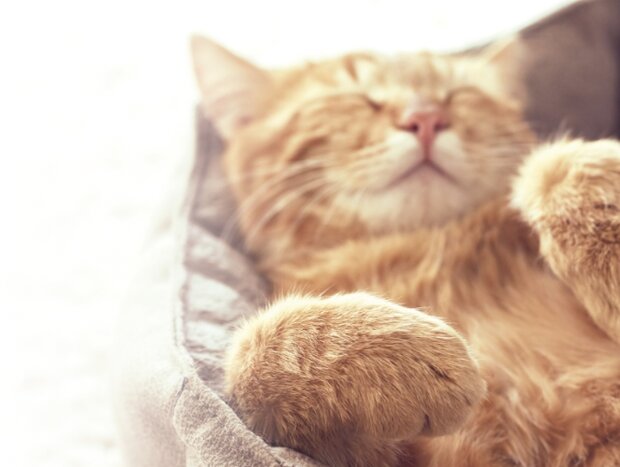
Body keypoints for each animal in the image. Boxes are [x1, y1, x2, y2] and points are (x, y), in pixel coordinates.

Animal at [191, 34, 620, 466]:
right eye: (357, 97)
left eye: (458, 94)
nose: (426, 117)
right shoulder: (405, 455)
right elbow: (252, 350)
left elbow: (551, 166)